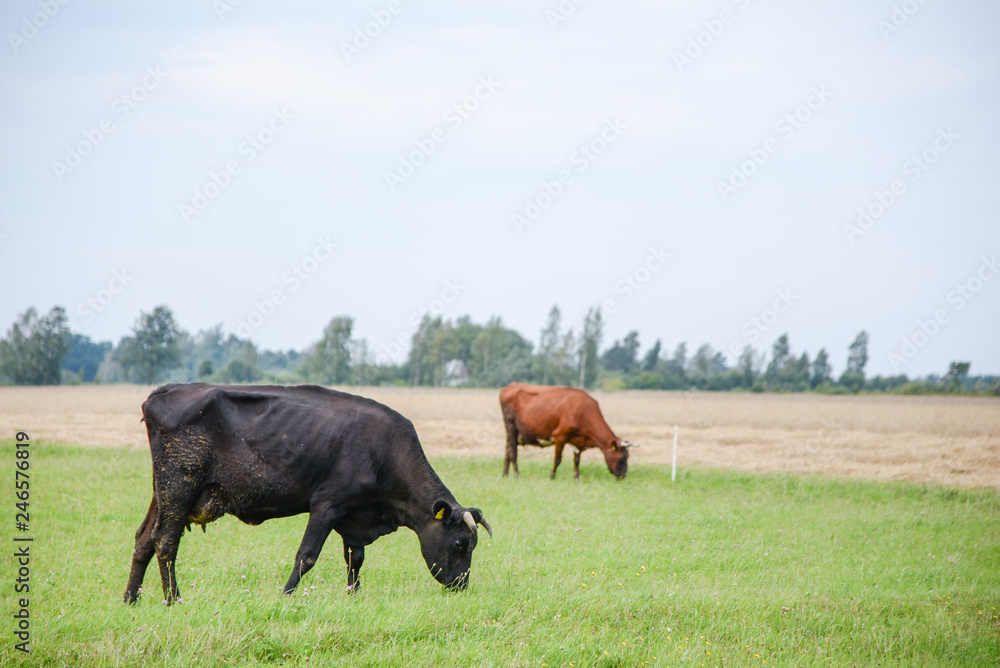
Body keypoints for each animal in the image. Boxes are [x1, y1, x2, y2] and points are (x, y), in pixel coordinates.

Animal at [123, 383, 492, 605]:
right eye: (460, 543)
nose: (462, 585)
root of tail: (165, 390)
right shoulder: (327, 504)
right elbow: (307, 555)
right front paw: (286, 595)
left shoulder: (354, 514)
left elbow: (355, 558)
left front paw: (353, 595)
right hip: (179, 485)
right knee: (165, 541)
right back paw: (173, 600)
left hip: (164, 492)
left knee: (144, 539)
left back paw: (131, 598)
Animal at [499, 382, 637, 480]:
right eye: (621, 458)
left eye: (628, 456)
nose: (623, 475)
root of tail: (510, 386)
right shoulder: (560, 436)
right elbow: (558, 459)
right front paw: (552, 476)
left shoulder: (577, 440)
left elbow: (577, 460)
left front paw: (577, 477)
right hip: (511, 426)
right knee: (513, 452)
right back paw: (517, 475)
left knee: (508, 450)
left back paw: (505, 474)